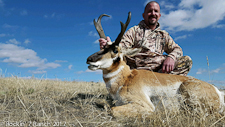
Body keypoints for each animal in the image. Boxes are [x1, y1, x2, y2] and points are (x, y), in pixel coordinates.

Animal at [85, 12, 223, 117]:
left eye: (115, 50)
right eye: (104, 47)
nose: (89, 59)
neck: (126, 78)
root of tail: (217, 91)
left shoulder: (146, 105)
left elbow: (112, 109)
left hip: (187, 89)